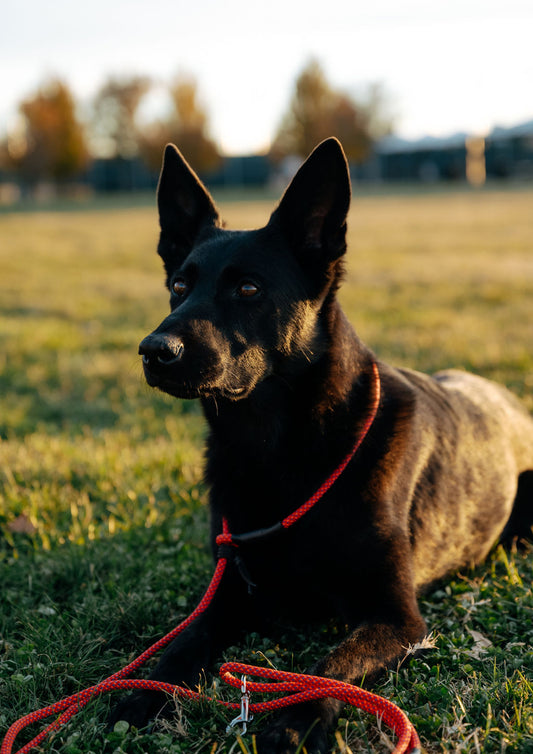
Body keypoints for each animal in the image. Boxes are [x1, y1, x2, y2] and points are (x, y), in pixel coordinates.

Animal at [110, 137, 533, 752]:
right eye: (179, 287)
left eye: (248, 288)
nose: (153, 350)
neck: (276, 449)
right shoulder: (228, 594)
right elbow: (183, 642)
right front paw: (145, 693)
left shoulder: (396, 618)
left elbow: (333, 665)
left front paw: (297, 719)